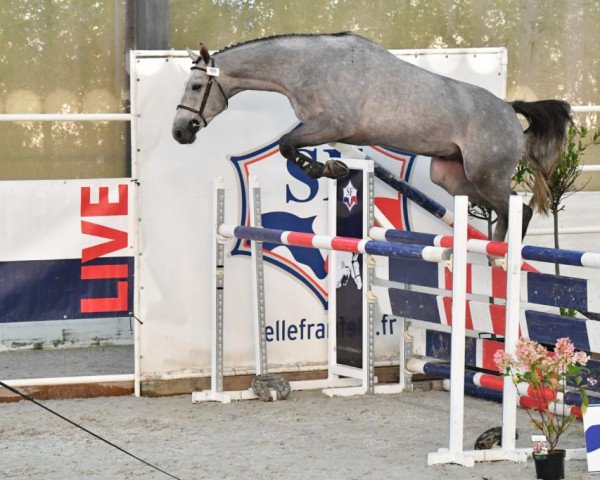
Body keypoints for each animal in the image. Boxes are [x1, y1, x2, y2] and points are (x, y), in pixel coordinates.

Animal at [171, 31, 568, 240]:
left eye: (196, 86)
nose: (179, 132)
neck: (304, 67)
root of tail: (509, 109)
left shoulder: (333, 123)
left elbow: (287, 145)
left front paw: (324, 170)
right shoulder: (330, 131)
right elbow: (295, 147)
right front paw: (334, 170)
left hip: (487, 175)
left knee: (517, 208)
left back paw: (502, 259)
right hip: (454, 178)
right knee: (503, 209)